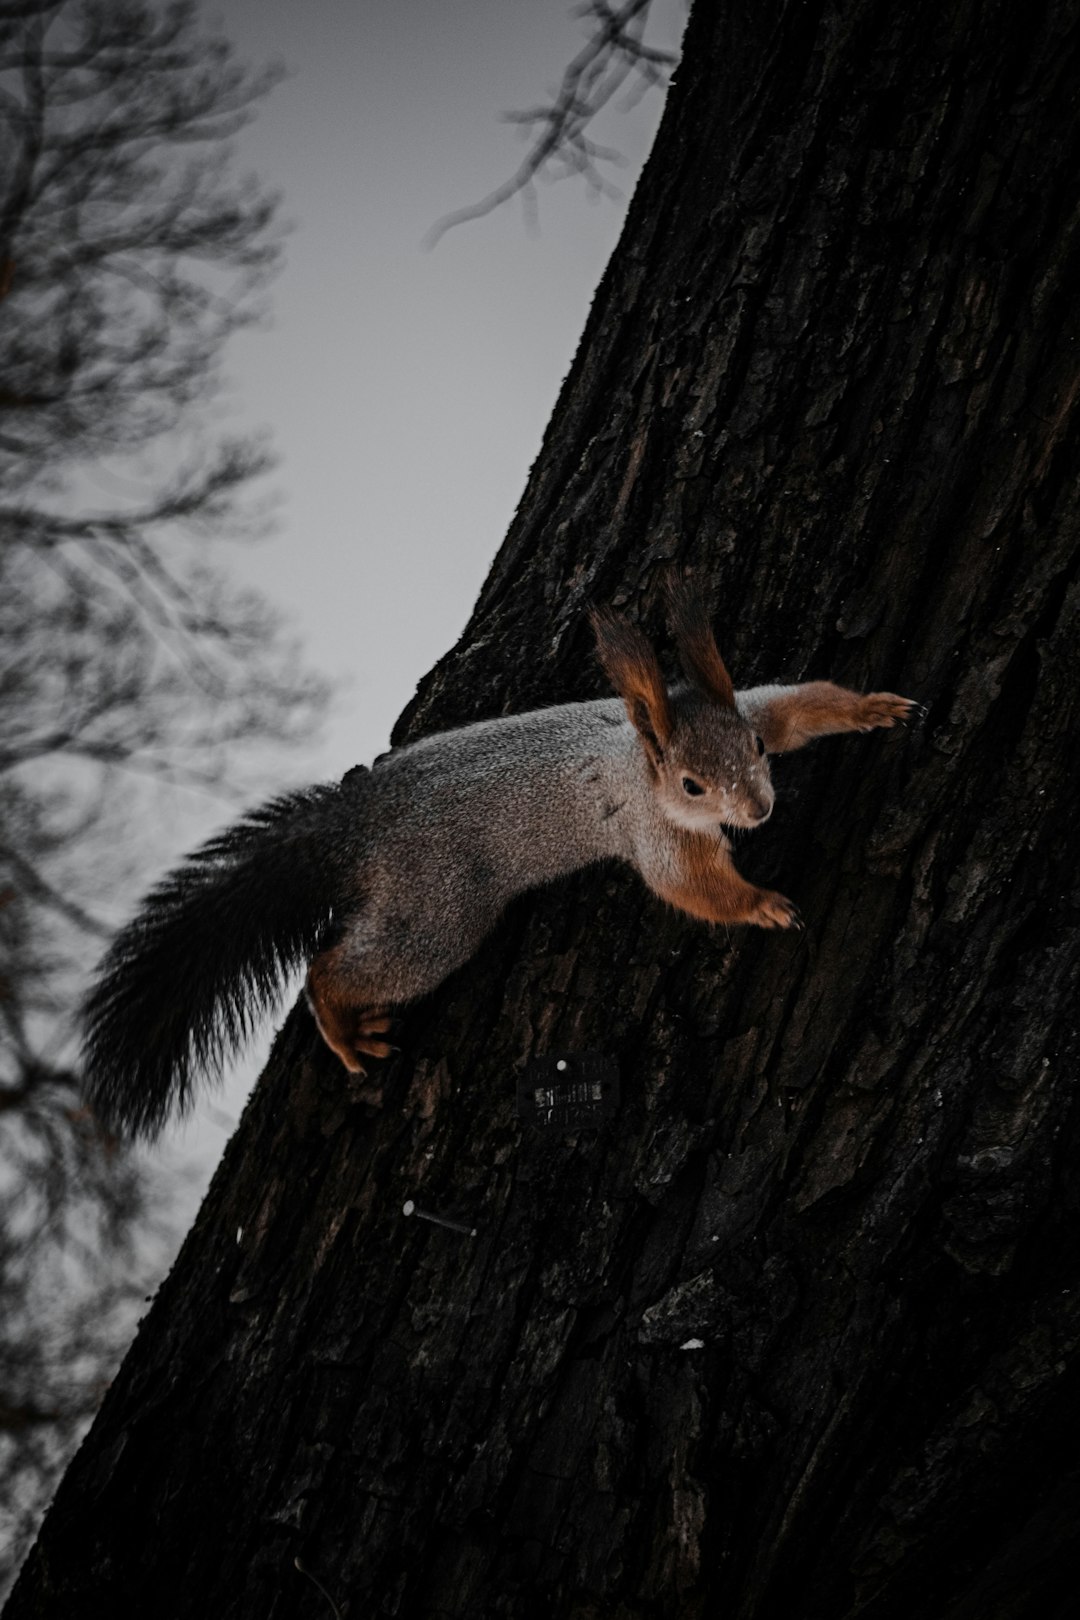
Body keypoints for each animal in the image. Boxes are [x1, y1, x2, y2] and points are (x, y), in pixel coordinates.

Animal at [80, 586, 919, 1140]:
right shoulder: (659, 834)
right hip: (437, 914)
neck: (644, 758)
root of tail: (358, 825)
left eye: (752, 751)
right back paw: (345, 1030)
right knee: (333, 969)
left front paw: (870, 708)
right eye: (691, 785)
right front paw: (762, 903)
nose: (760, 811)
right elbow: (691, 888)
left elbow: (801, 704)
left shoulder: (756, 706)